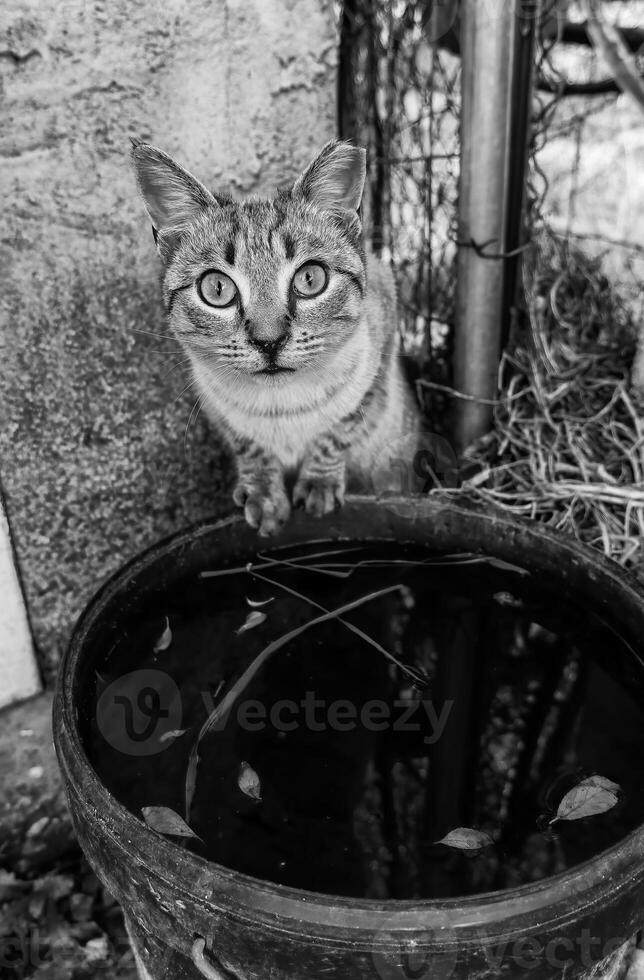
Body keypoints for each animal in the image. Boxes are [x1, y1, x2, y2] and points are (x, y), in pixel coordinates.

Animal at [133, 137, 420, 532]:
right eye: (217, 288)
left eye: (310, 279)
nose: (268, 341)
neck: (281, 405)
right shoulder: (212, 401)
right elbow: (250, 446)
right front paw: (265, 497)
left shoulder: (380, 351)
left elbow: (338, 431)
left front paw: (318, 487)